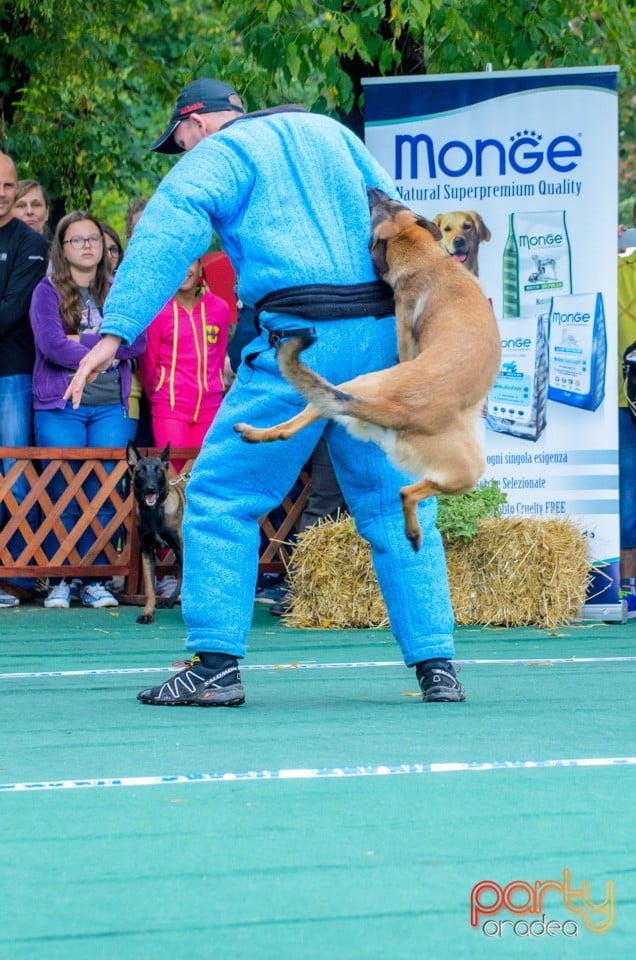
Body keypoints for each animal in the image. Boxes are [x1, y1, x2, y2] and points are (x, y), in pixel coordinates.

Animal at [124, 440, 184, 624]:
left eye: (159, 470)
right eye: (140, 471)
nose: (150, 489)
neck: (155, 512)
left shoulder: (182, 548)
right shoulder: (148, 552)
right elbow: (150, 589)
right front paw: (148, 613)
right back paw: (170, 601)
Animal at [234, 188, 502, 552]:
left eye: (390, 203)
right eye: (378, 207)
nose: (372, 189)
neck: (426, 261)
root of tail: (393, 409)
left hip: (352, 386)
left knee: (295, 423)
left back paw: (253, 432)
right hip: (468, 469)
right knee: (407, 492)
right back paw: (414, 533)